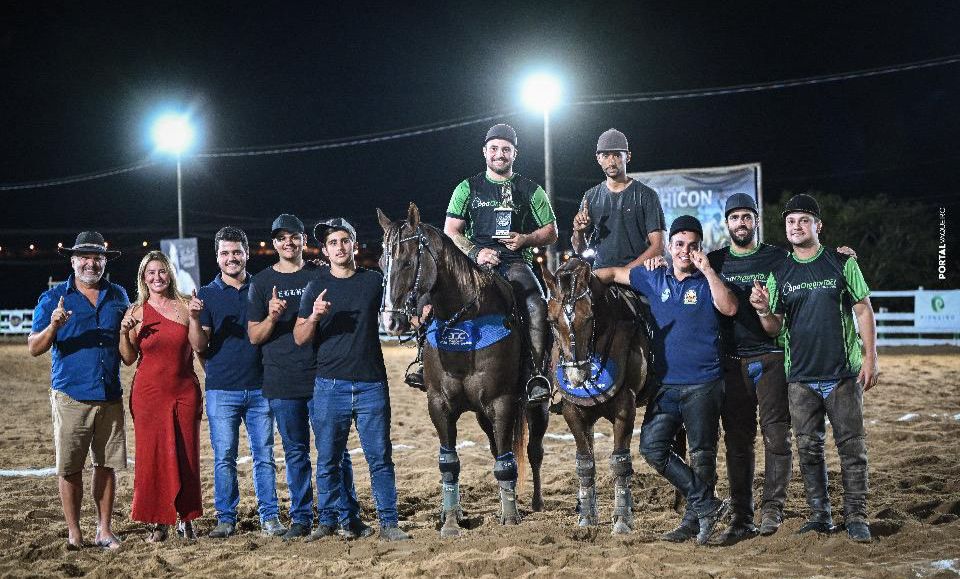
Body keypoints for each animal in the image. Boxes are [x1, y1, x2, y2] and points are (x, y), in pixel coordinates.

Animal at [378, 204, 552, 540]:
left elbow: (507, 462)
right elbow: (450, 463)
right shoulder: (439, 405)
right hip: (484, 415)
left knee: (532, 450)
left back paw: (536, 503)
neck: (466, 323)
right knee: (497, 448)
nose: (390, 322)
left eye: (407, 262)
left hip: (537, 407)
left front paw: (510, 517)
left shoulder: (502, 402)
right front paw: (450, 520)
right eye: (381, 263)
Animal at [540, 258, 652, 536]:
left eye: (589, 317)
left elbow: (620, 462)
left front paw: (622, 520)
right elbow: (585, 462)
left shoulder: (625, 408)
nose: (576, 376)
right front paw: (587, 517)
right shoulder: (573, 412)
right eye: (551, 321)